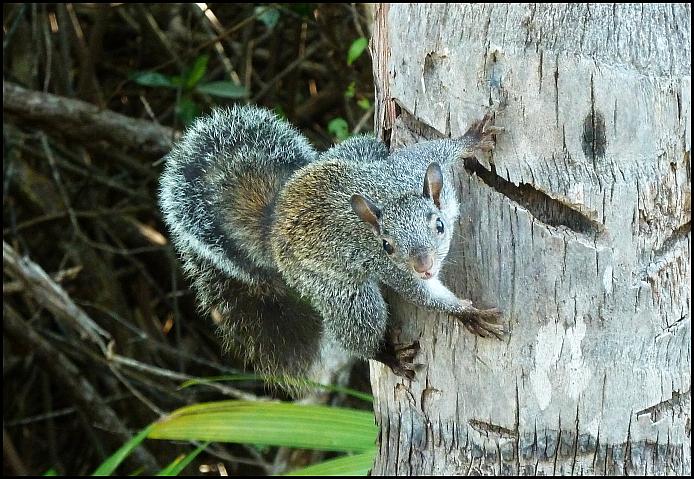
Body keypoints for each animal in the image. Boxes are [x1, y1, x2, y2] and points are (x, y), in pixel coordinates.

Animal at [159, 105, 503, 382]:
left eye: (439, 226)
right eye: (386, 246)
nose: (424, 267)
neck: (393, 197)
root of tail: (272, 228)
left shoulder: (410, 166)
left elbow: (437, 148)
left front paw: (472, 139)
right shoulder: (392, 269)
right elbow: (421, 294)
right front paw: (466, 313)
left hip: (360, 149)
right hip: (339, 292)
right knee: (358, 327)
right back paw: (388, 356)